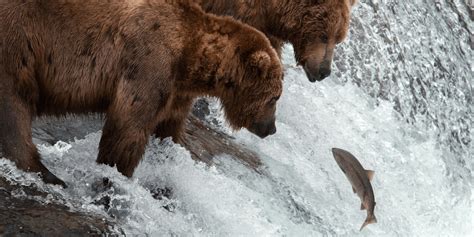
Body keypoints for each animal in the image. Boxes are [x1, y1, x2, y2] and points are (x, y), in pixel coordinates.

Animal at [0, 0, 282, 187]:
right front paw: (117, 171)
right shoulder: (149, 62)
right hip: (20, 39)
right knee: (14, 105)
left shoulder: (176, 91)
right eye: (275, 97)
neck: (189, 56)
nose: (271, 128)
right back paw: (47, 173)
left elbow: (169, 127)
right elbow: (128, 126)